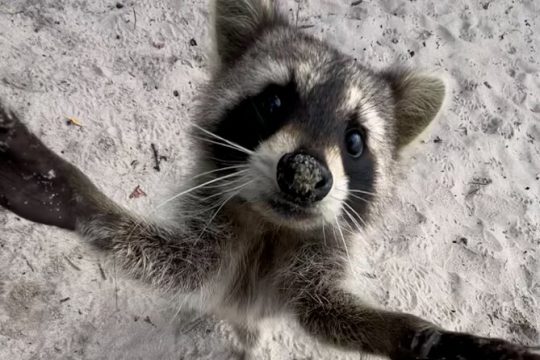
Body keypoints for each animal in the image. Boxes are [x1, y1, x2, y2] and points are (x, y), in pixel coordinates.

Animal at [1, 0, 540, 360]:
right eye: (274, 102)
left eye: (355, 141)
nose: (304, 176)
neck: (271, 226)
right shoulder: (212, 218)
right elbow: (181, 265)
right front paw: (84, 201)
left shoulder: (322, 253)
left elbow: (327, 312)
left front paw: (419, 335)